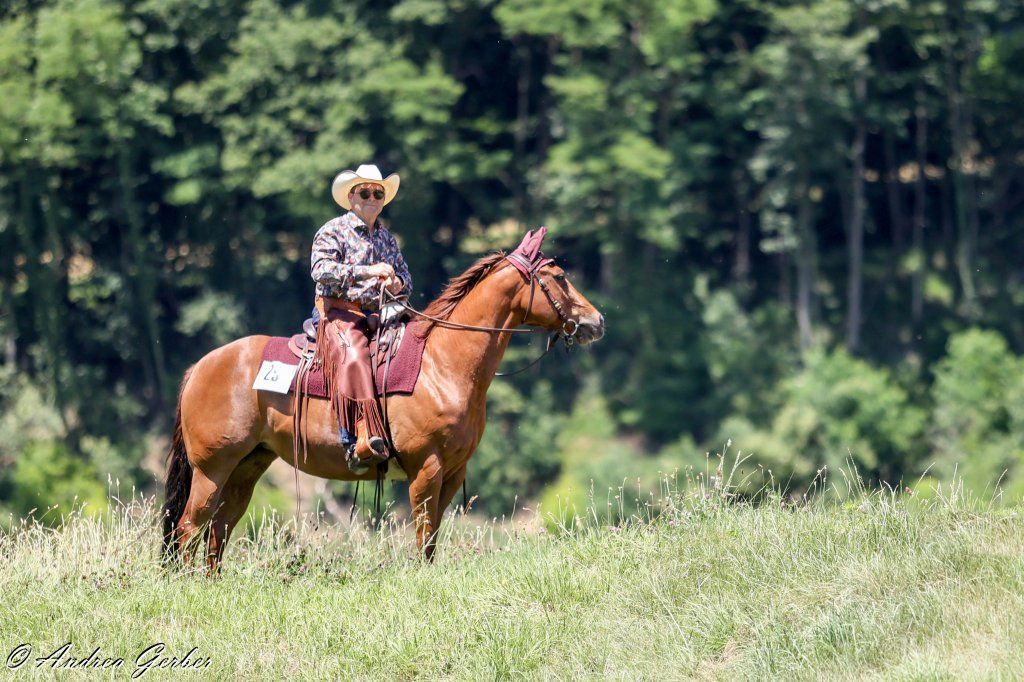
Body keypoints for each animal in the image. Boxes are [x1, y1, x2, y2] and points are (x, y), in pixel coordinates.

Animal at [161, 242, 605, 571]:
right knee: (189, 528)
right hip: (211, 468)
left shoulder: (454, 471)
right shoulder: (426, 468)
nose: (596, 321)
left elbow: (433, 535)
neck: (443, 362)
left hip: (247, 466)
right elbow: (423, 534)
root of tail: (201, 367)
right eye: (560, 278)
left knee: (218, 529)